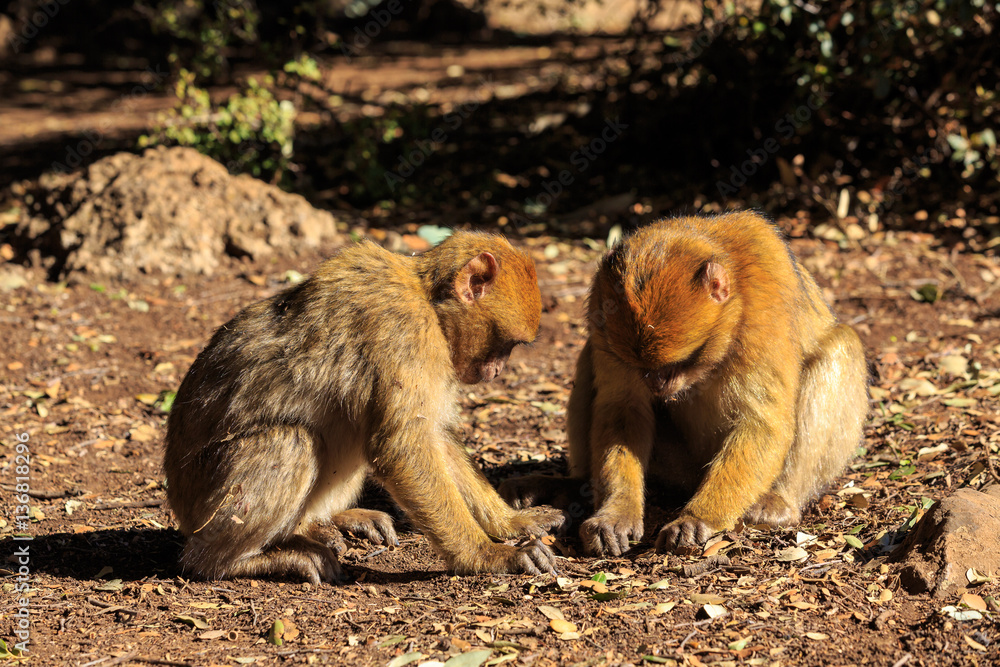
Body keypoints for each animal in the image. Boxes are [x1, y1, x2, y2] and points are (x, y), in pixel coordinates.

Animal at [164, 231, 565, 584]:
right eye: (507, 345)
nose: (497, 371)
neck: (426, 298)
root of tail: (179, 504)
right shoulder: (405, 330)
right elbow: (402, 448)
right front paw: (487, 555)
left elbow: (434, 437)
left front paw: (510, 523)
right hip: (207, 509)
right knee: (291, 441)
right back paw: (232, 562)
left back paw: (322, 523)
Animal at [501, 211, 868, 555]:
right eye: (641, 366)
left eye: (679, 362)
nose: (656, 383)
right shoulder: (600, 313)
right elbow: (623, 409)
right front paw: (614, 515)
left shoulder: (767, 306)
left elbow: (763, 422)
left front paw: (699, 518)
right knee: (589, 357)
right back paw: (574, 487)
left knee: (842, 347)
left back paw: (779, 502)